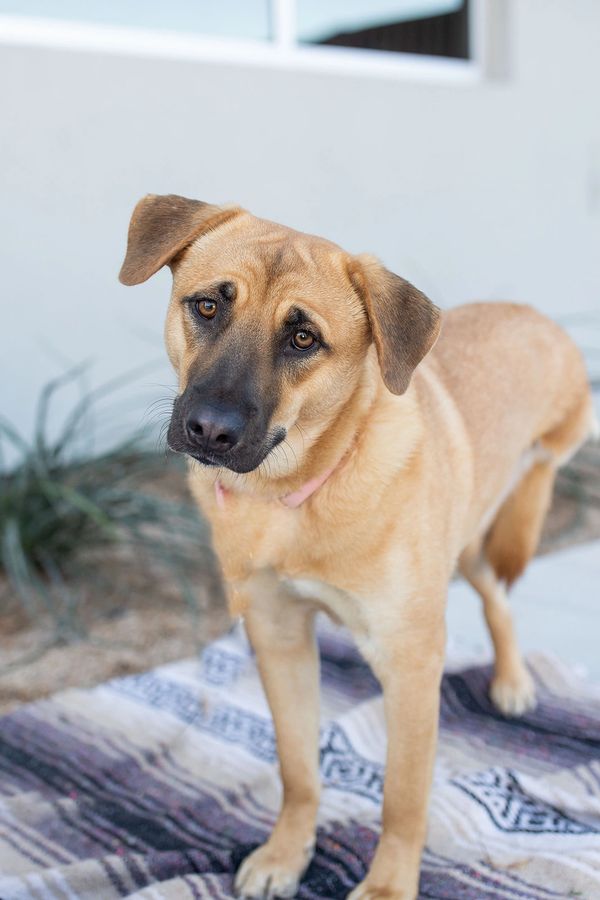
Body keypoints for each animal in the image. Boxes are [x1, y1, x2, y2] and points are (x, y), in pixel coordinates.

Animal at [118, 197, 596, 900]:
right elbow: (297, 768)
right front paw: (288, 852)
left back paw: (511, 680)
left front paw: (389, 885)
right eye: (207, 306)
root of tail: (531, 313)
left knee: (504, 579)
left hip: (508, 504)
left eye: (303, 339)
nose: (209, 429)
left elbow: (403, 797)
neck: (294, 497)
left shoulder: (411, 661)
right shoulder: (279, 635)